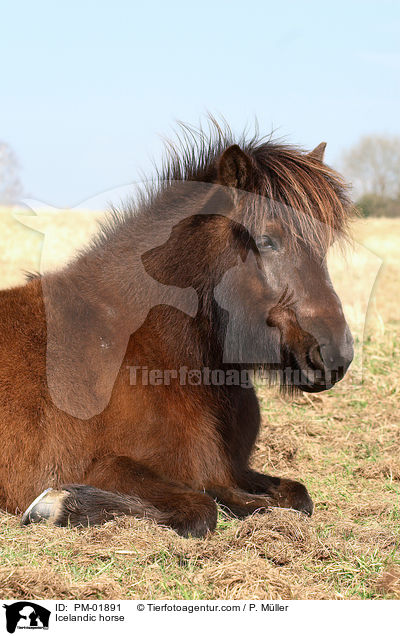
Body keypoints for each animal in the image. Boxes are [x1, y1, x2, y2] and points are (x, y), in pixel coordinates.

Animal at [1, 123, 354, 536]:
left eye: (324, 243)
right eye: (267, 240)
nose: (334, 356)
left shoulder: (224, 470)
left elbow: (294, 496)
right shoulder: (109, 466)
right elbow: (201, 509)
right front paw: (55, 505)